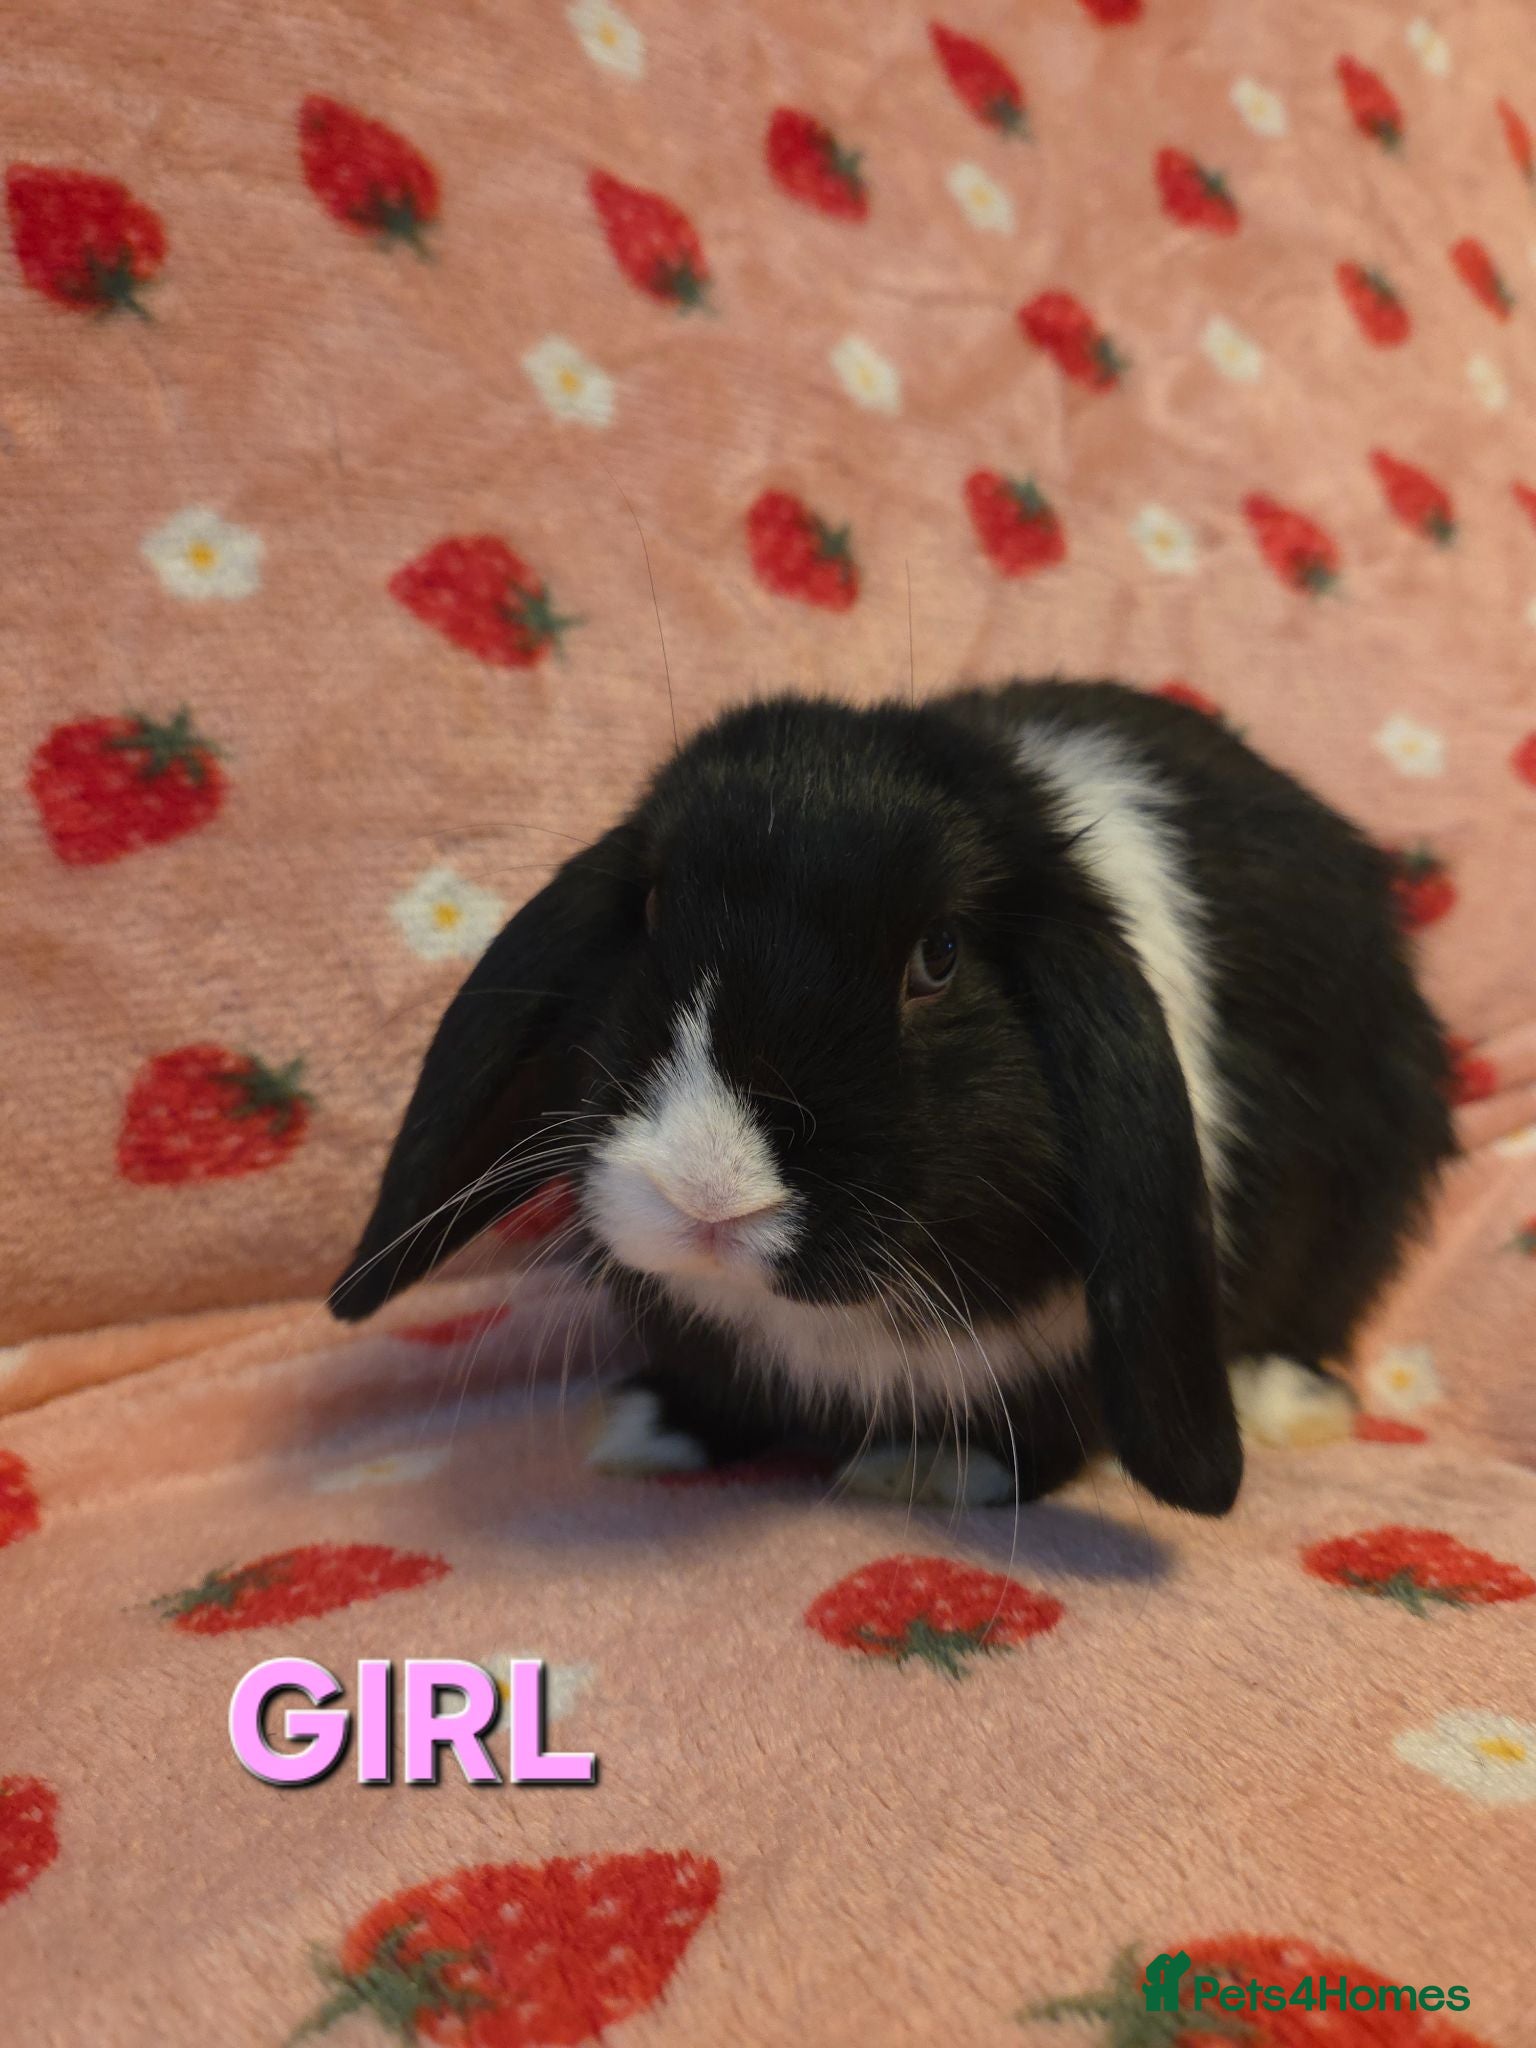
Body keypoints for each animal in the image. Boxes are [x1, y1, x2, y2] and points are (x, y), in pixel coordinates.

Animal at [329, 680, 1456, 1515]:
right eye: (647, 909)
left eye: (938, 955)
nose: (705, 1194)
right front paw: (644, 1432)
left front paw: (931, 1471)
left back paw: (1283, 1397)